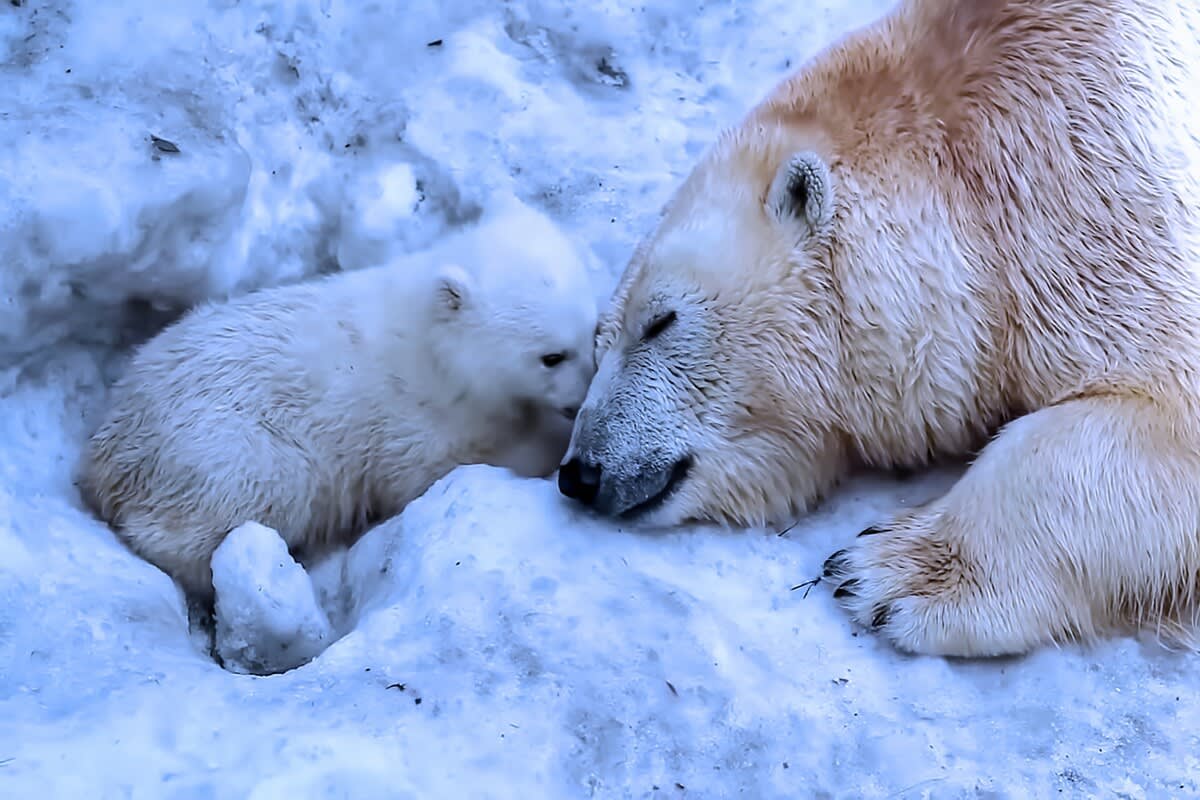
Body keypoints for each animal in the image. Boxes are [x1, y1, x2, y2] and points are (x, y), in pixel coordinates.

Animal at [80, 198, 598, 600]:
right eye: (551, 356)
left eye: (592, 332)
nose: (582, 398)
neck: (436, 349)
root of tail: (104, 458)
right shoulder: (410, 421)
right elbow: (442, 469)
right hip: (225, 454)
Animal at [557, 0, 1200, 658]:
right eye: (599, 344)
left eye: (661, 321)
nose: (581, 471)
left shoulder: (1099, 184)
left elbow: (1154, 411)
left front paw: (885, 573)